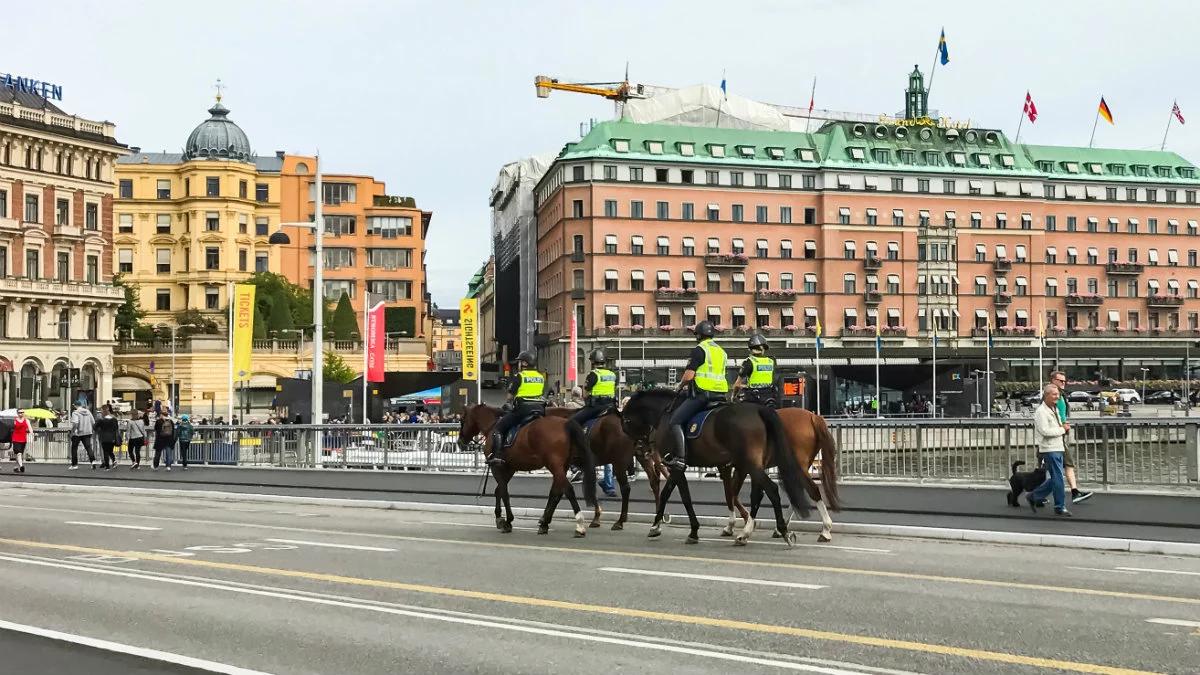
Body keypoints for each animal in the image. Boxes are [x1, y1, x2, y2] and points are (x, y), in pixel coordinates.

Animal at [453, 398, 595, 535]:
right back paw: (544, 523)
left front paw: (506, 520)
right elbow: (499, 490)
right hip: (561, 467)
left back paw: (579, 524)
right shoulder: (509, 468)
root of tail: (565, 424)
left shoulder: (497, 468)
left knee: (568, 490)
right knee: (557, 492)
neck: (492, 426)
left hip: (555, 465)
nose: (460, 442)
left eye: (462, 419)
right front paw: (501, 519)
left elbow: (503, 492)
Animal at [619, 386, 816, 542]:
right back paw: (750, 531)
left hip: (751, 464)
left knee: (772, 490)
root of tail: (759, 410)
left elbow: (674, 494)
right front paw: (689, 529)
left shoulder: (676, 466)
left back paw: (782, 530)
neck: (666, 413)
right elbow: (683, 494)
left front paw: (659, 526)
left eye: (626, 421)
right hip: (754, 464)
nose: (640, 449)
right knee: (761, 492)